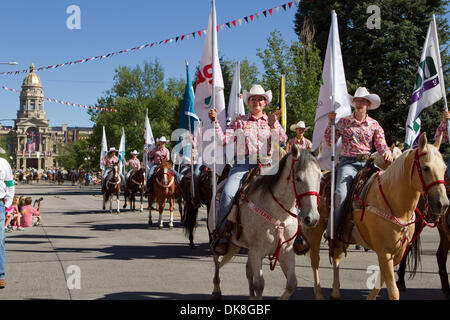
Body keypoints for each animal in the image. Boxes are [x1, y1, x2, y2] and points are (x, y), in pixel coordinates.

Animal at [212, 146, 324, 302]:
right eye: (298, 178)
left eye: (320, 177)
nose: (312, 218)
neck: (279, 213)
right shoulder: (257, 252)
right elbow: (259, 285)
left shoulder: (286, 250)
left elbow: (292, 284)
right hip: (220, 238)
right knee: (217, 261)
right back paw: (216, 289)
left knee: (247, 270)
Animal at [304, 133, 448, 300]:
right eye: (426, 168)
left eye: (444, 168)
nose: (443, 204)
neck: (394, 203)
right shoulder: (384, 251)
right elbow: (392, 290)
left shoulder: (397, 252)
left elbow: (382, 280)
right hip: (316, 229)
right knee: (315, 260)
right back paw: (319, 293)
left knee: (336, 258)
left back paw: (335, 291)